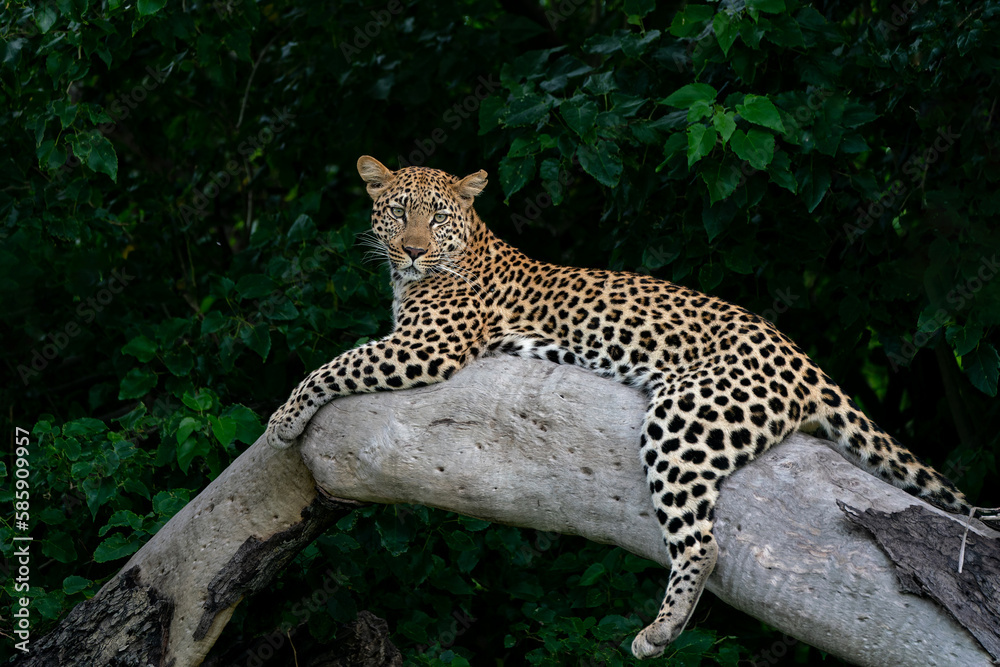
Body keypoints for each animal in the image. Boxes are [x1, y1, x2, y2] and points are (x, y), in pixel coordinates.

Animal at [266, 155, 1000, 659]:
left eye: (436, 217)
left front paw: (281, 419)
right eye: (398, 212)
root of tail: (803, 358)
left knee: (704, 541)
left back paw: (659, 631)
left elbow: (337, 361)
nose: (413, 248)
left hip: (684, 417)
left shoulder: (428, 346)